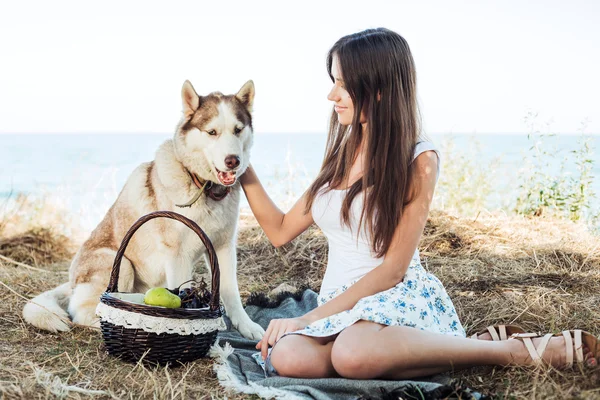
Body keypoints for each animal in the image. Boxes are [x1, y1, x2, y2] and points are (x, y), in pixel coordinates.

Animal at [22, 79, 264, 340]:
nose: (233, 160)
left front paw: (246, 326)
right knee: (83, 312)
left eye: (238, 130)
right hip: (122, 266)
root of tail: (71, 281)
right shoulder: (177, 256)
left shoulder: (223, 247)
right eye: (212, 132)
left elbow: (231, 292)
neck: (203, 187)